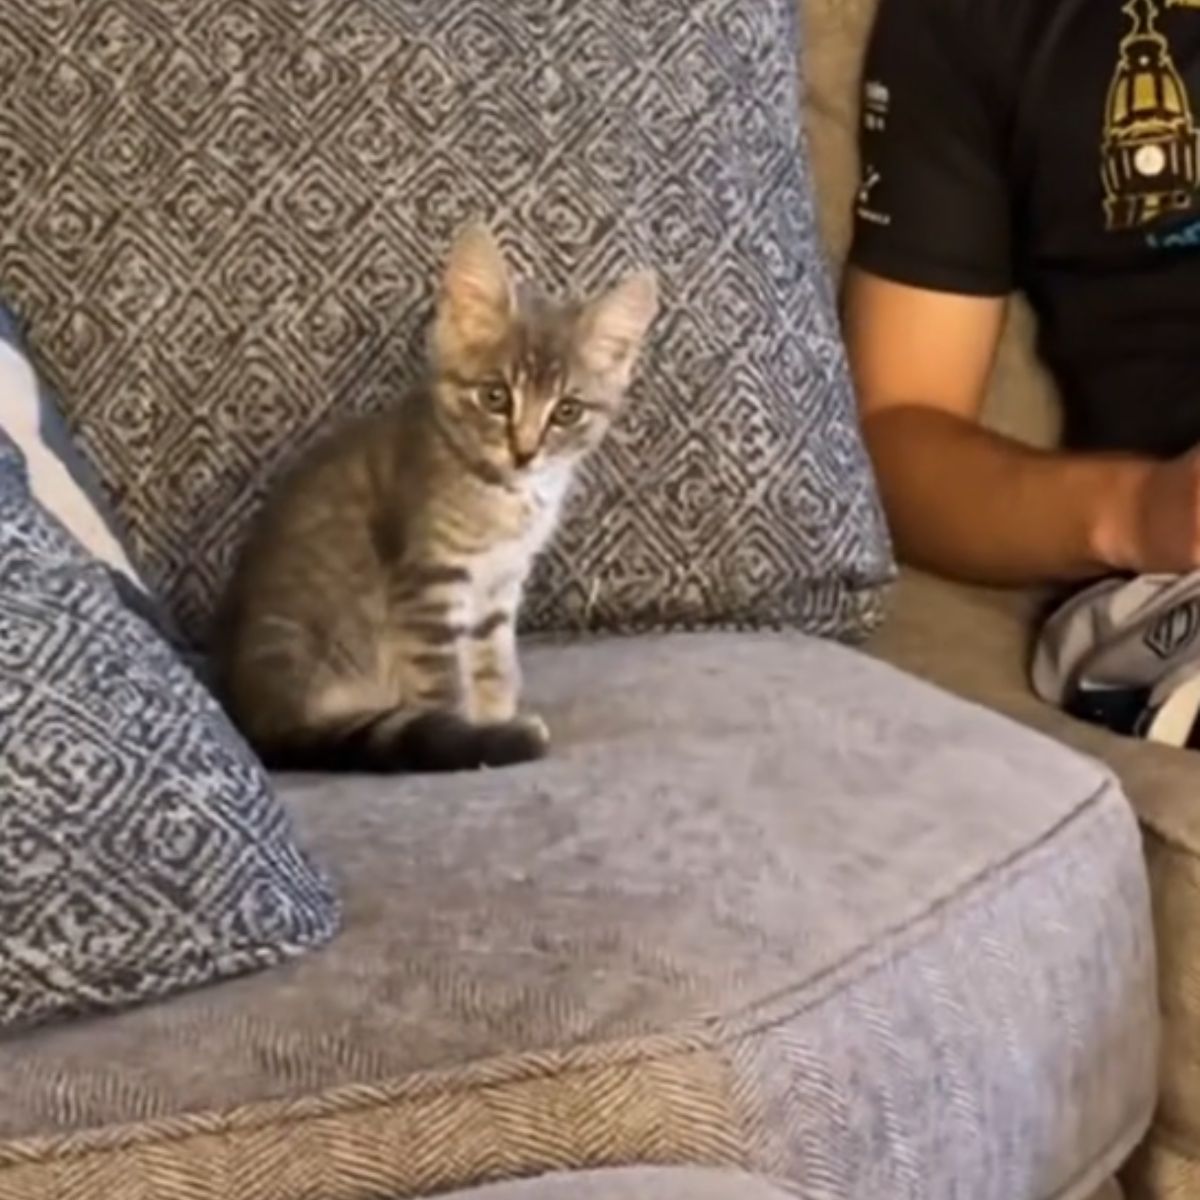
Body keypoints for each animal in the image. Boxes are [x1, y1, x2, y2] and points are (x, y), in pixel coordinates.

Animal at [216, 220, 657, 772]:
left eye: (566, 412)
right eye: (495, 396)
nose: (524, 452)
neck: (500, 492)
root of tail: (260, 724)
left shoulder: (497, 587)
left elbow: (492, 665)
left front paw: (493, 714)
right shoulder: (427, 584)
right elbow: (443, 684)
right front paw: (470, 739)